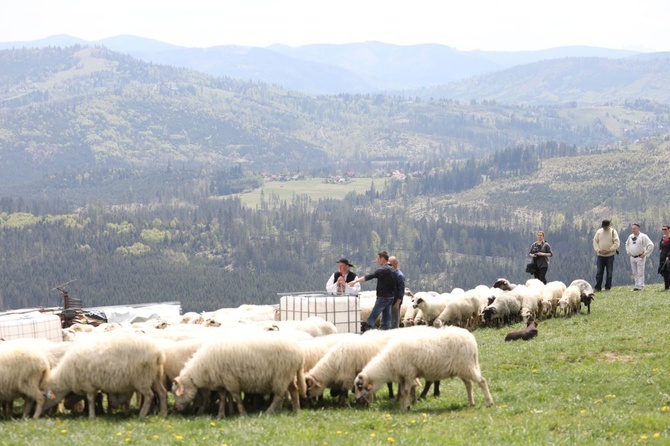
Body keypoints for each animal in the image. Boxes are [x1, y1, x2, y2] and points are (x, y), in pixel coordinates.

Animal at [173, 332, 310, 416]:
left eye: (177, 394)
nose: (176, 409)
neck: (202, 368)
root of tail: (300, 354)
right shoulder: (222, 382)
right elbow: (223, 397)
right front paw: (221, 414)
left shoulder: (230, 380)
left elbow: (237, 397)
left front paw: (243, 413)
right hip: (289, 374)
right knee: (294, 390)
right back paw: (296, 410)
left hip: (281, 375)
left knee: (279, 395)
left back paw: (268, 411)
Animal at [356, 326, 494, 410]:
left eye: (360, 386)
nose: (357, 401)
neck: (388, 362)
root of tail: (471, 338)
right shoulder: (403, 376)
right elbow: (403, 391)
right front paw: (403, 405)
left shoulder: (409, 373)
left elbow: (406, 391)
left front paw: (405, 407)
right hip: (463, 368)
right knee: (469, 384)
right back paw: (471, 402)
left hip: (467, 366)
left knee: (482, 381)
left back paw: (489, 402)